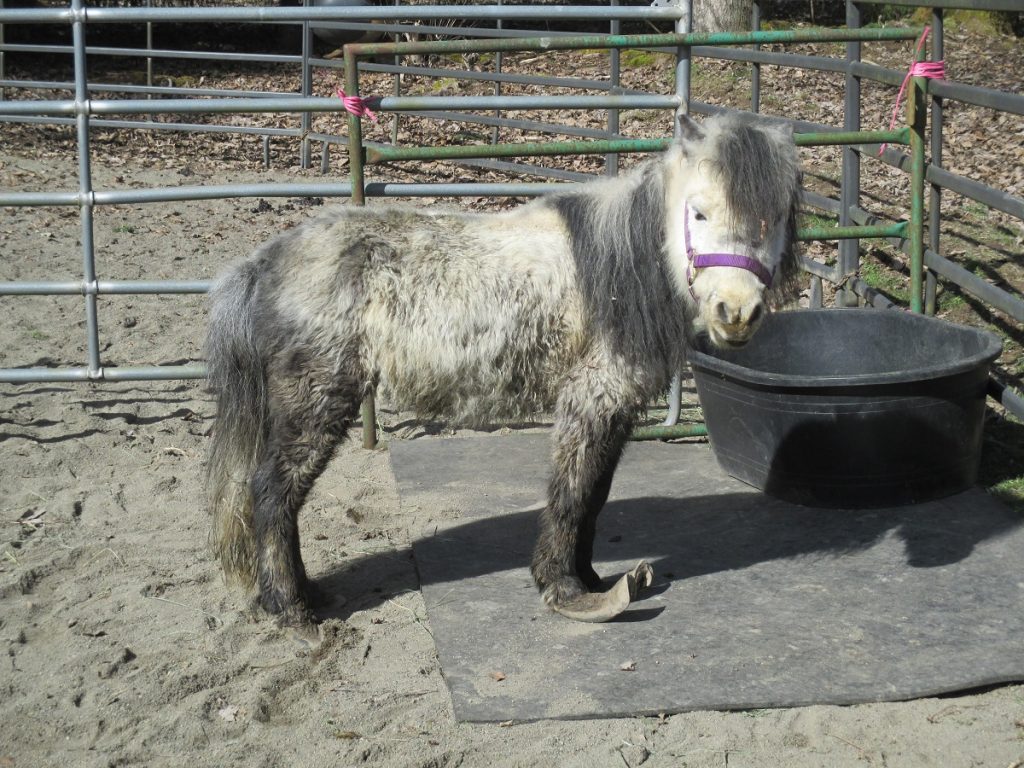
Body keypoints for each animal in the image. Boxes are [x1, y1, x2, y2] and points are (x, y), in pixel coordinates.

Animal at [203, 114, 802, 626]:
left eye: (774, 217)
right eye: (698, 213)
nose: (736, 312)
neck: (618, 269)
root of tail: (263, 262)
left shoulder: (614, 408)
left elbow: (595, 495)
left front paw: (591, 579)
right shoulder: (592, 396)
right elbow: (572, 492)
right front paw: (567, 592)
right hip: (317, 399)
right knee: (273, 491)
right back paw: (292, 609)